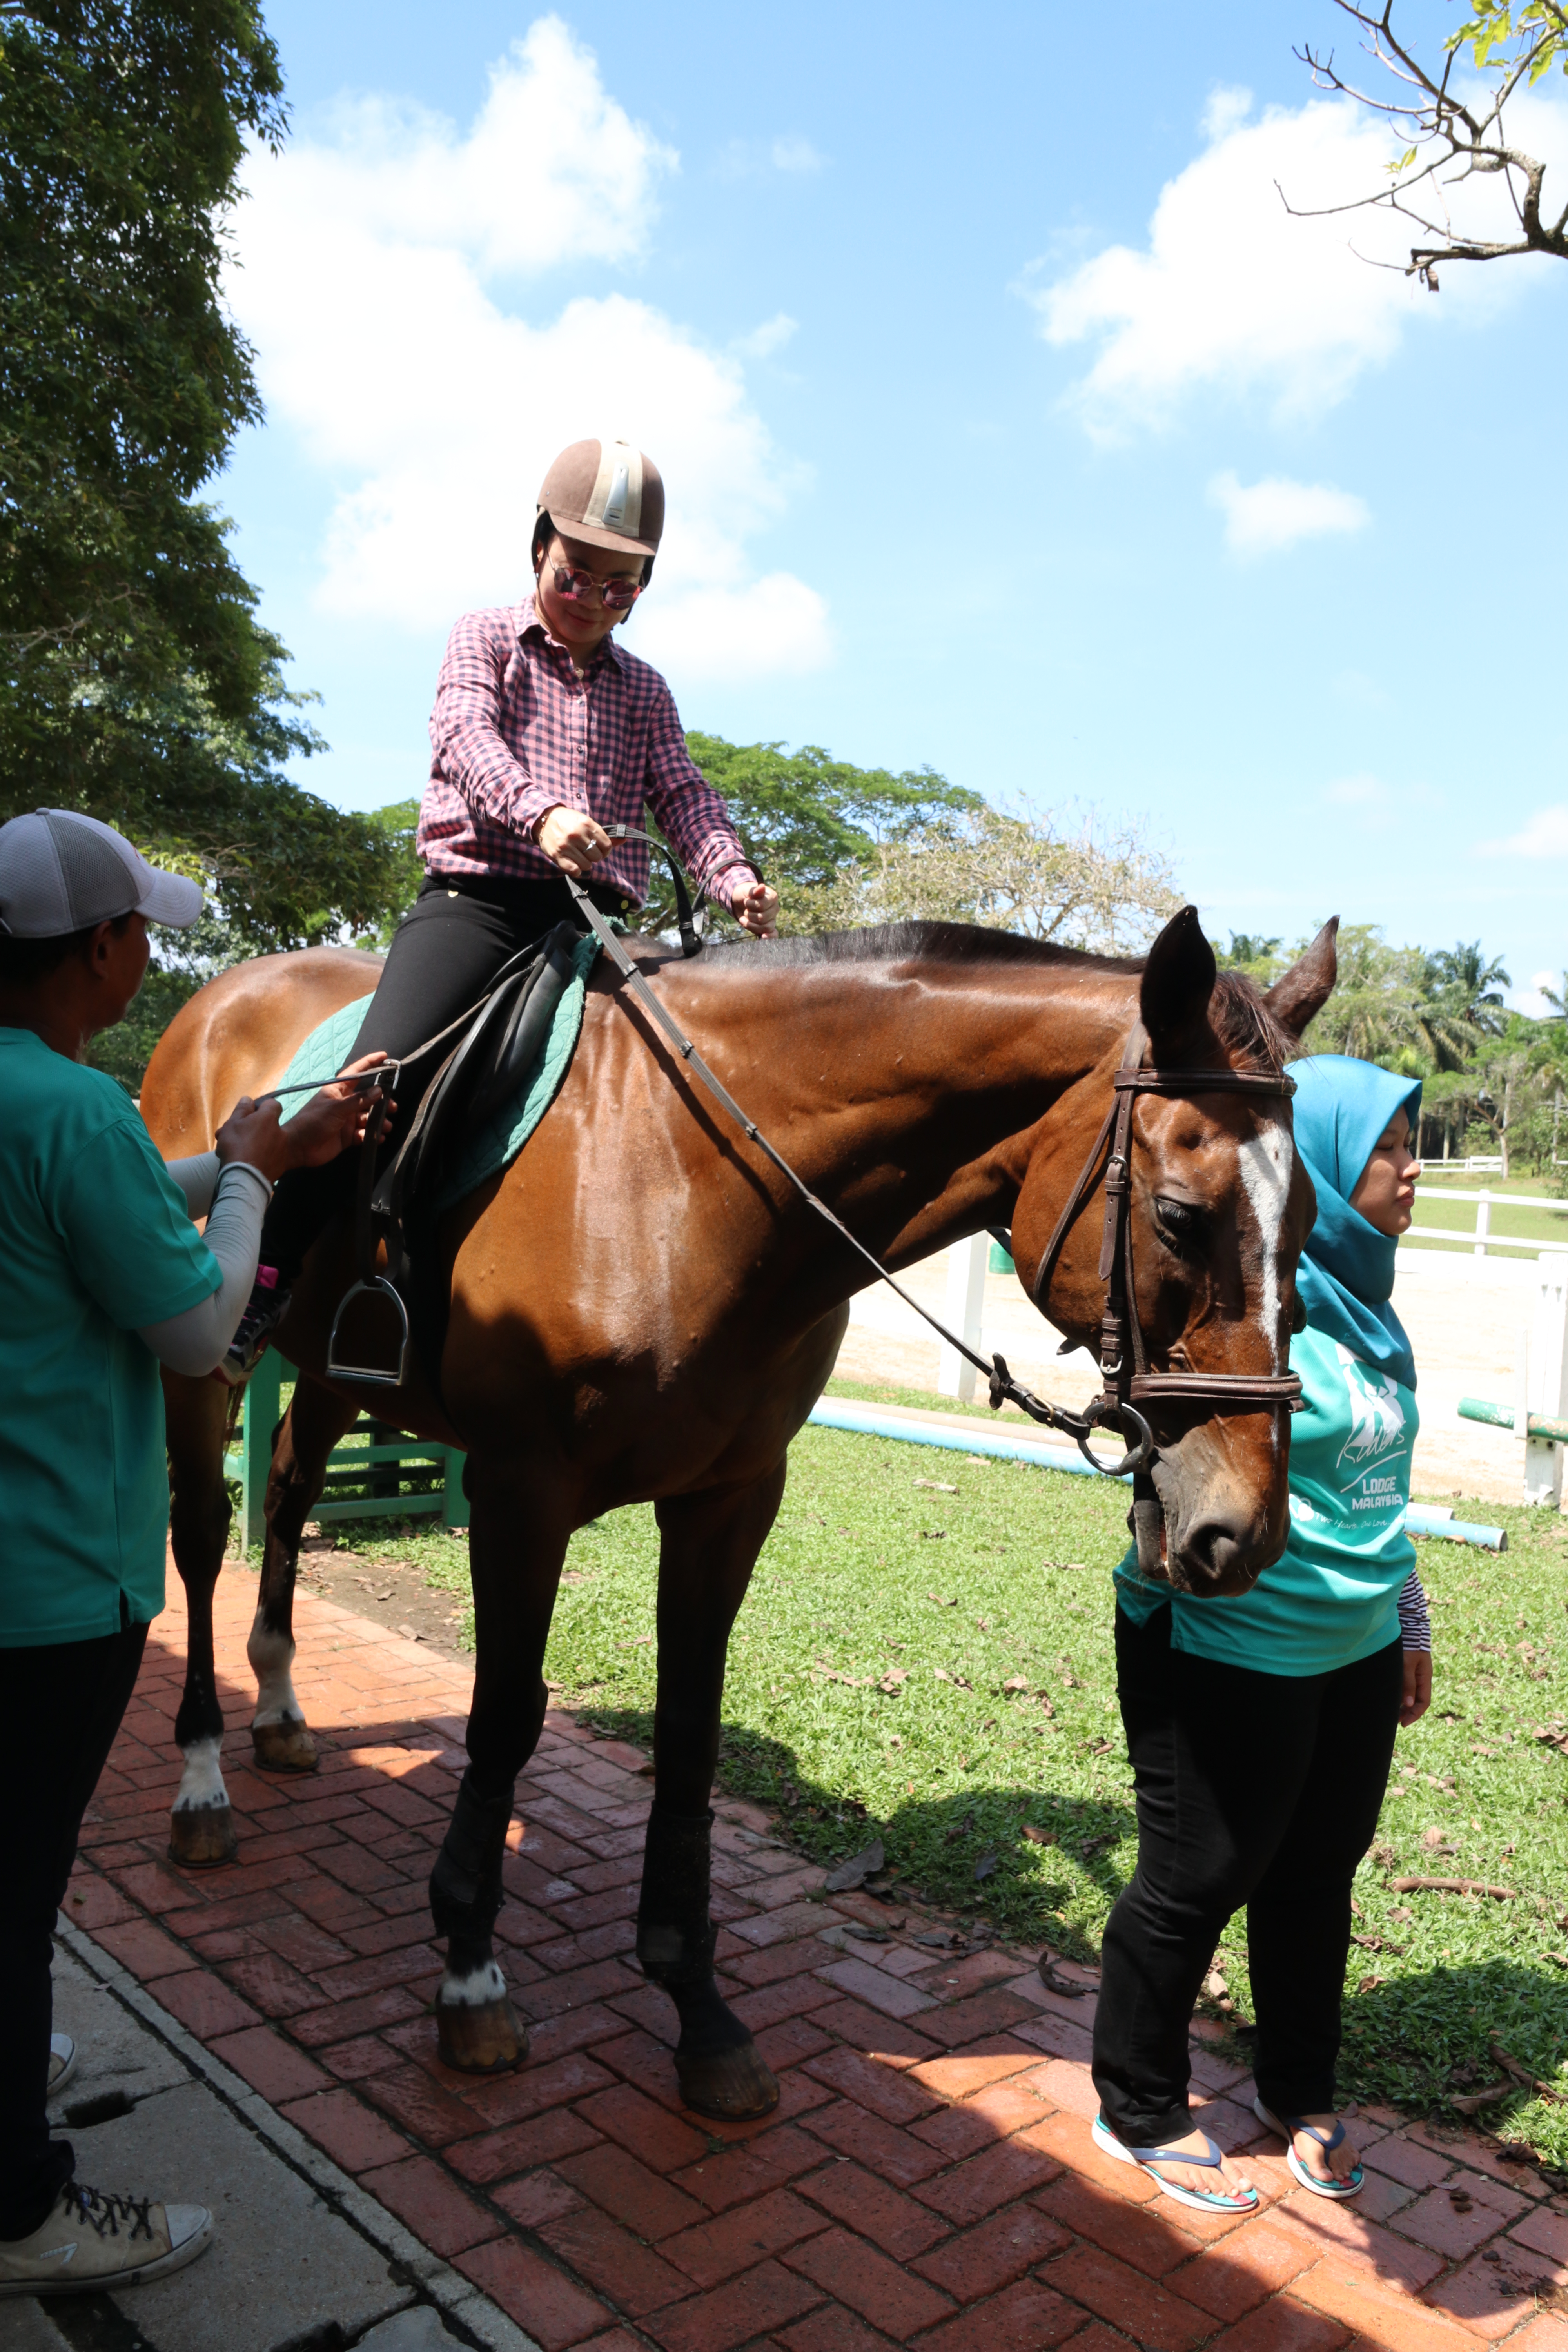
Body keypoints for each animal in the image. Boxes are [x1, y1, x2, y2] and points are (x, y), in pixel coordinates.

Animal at [139, 904, 1337, 2121]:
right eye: (1181, 1219)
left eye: (1311, 1219)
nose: (1245, 1531)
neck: (683, 1181)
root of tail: (215, 999)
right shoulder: (523, 1492)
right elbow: (505, 1715)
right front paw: (471, 1970)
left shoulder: (731, 1499)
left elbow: (690, 1734)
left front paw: (695, 2004)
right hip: (203, 1356)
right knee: (202, 1535)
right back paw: (202, 1786)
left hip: (337, 1370)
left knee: (289, 1495)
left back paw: (280, 1710)